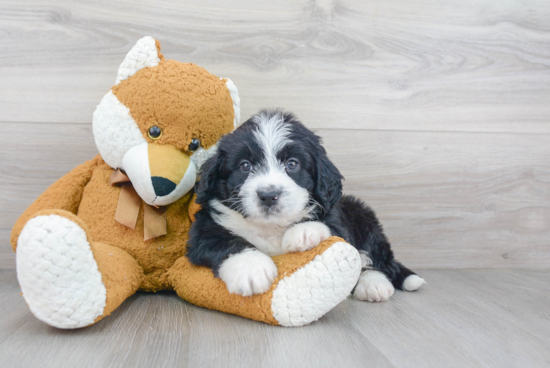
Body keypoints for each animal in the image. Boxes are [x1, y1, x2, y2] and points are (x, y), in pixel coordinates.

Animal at [187, 110, 426, 300]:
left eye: (292, 164)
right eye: (245, 166)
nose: (268, 195)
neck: (270, 227)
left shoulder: (337, 216)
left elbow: (330, 225)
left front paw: (303, 231)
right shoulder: (204, 229)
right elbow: (224, 240)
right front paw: (251, 268)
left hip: (364, 217)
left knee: (376, 260)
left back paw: (374, 284)